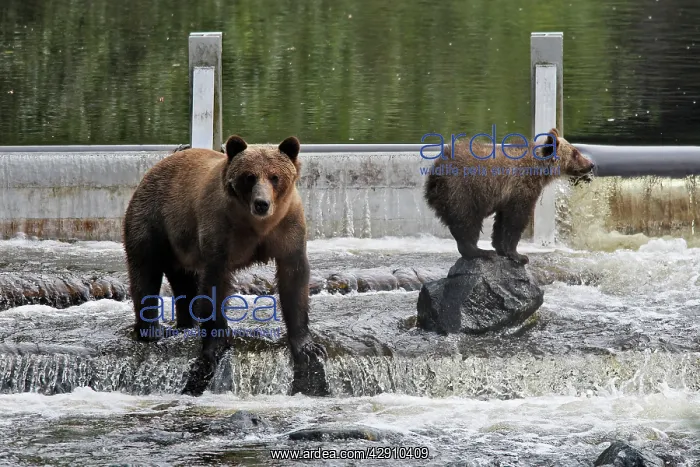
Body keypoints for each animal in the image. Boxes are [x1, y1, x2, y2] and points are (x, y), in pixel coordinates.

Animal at [122, 135, 326, 393]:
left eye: (274, 176)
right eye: (249, 176)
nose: (262, 203)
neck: (257, 225)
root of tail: (153, 168)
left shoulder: (289, 230)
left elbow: (294, 280)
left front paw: (306, 345)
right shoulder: (220, 230)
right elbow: (214, 284)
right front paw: (216, 341)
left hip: (180, 245)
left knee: (184, 281)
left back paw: (186, 323)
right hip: (153, 220)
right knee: (145, 270)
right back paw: (151, 330)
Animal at [423, 128, 595, 264]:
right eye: (575, 153)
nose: (591, 164)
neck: (539, 171)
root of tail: (435, 172)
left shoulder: (506, 197)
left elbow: (501, 222)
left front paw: (501, 248)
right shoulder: (521, 189)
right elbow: (516, 220)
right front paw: (519, 256)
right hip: (463, 191)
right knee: (467, 221)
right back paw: (481, 251)